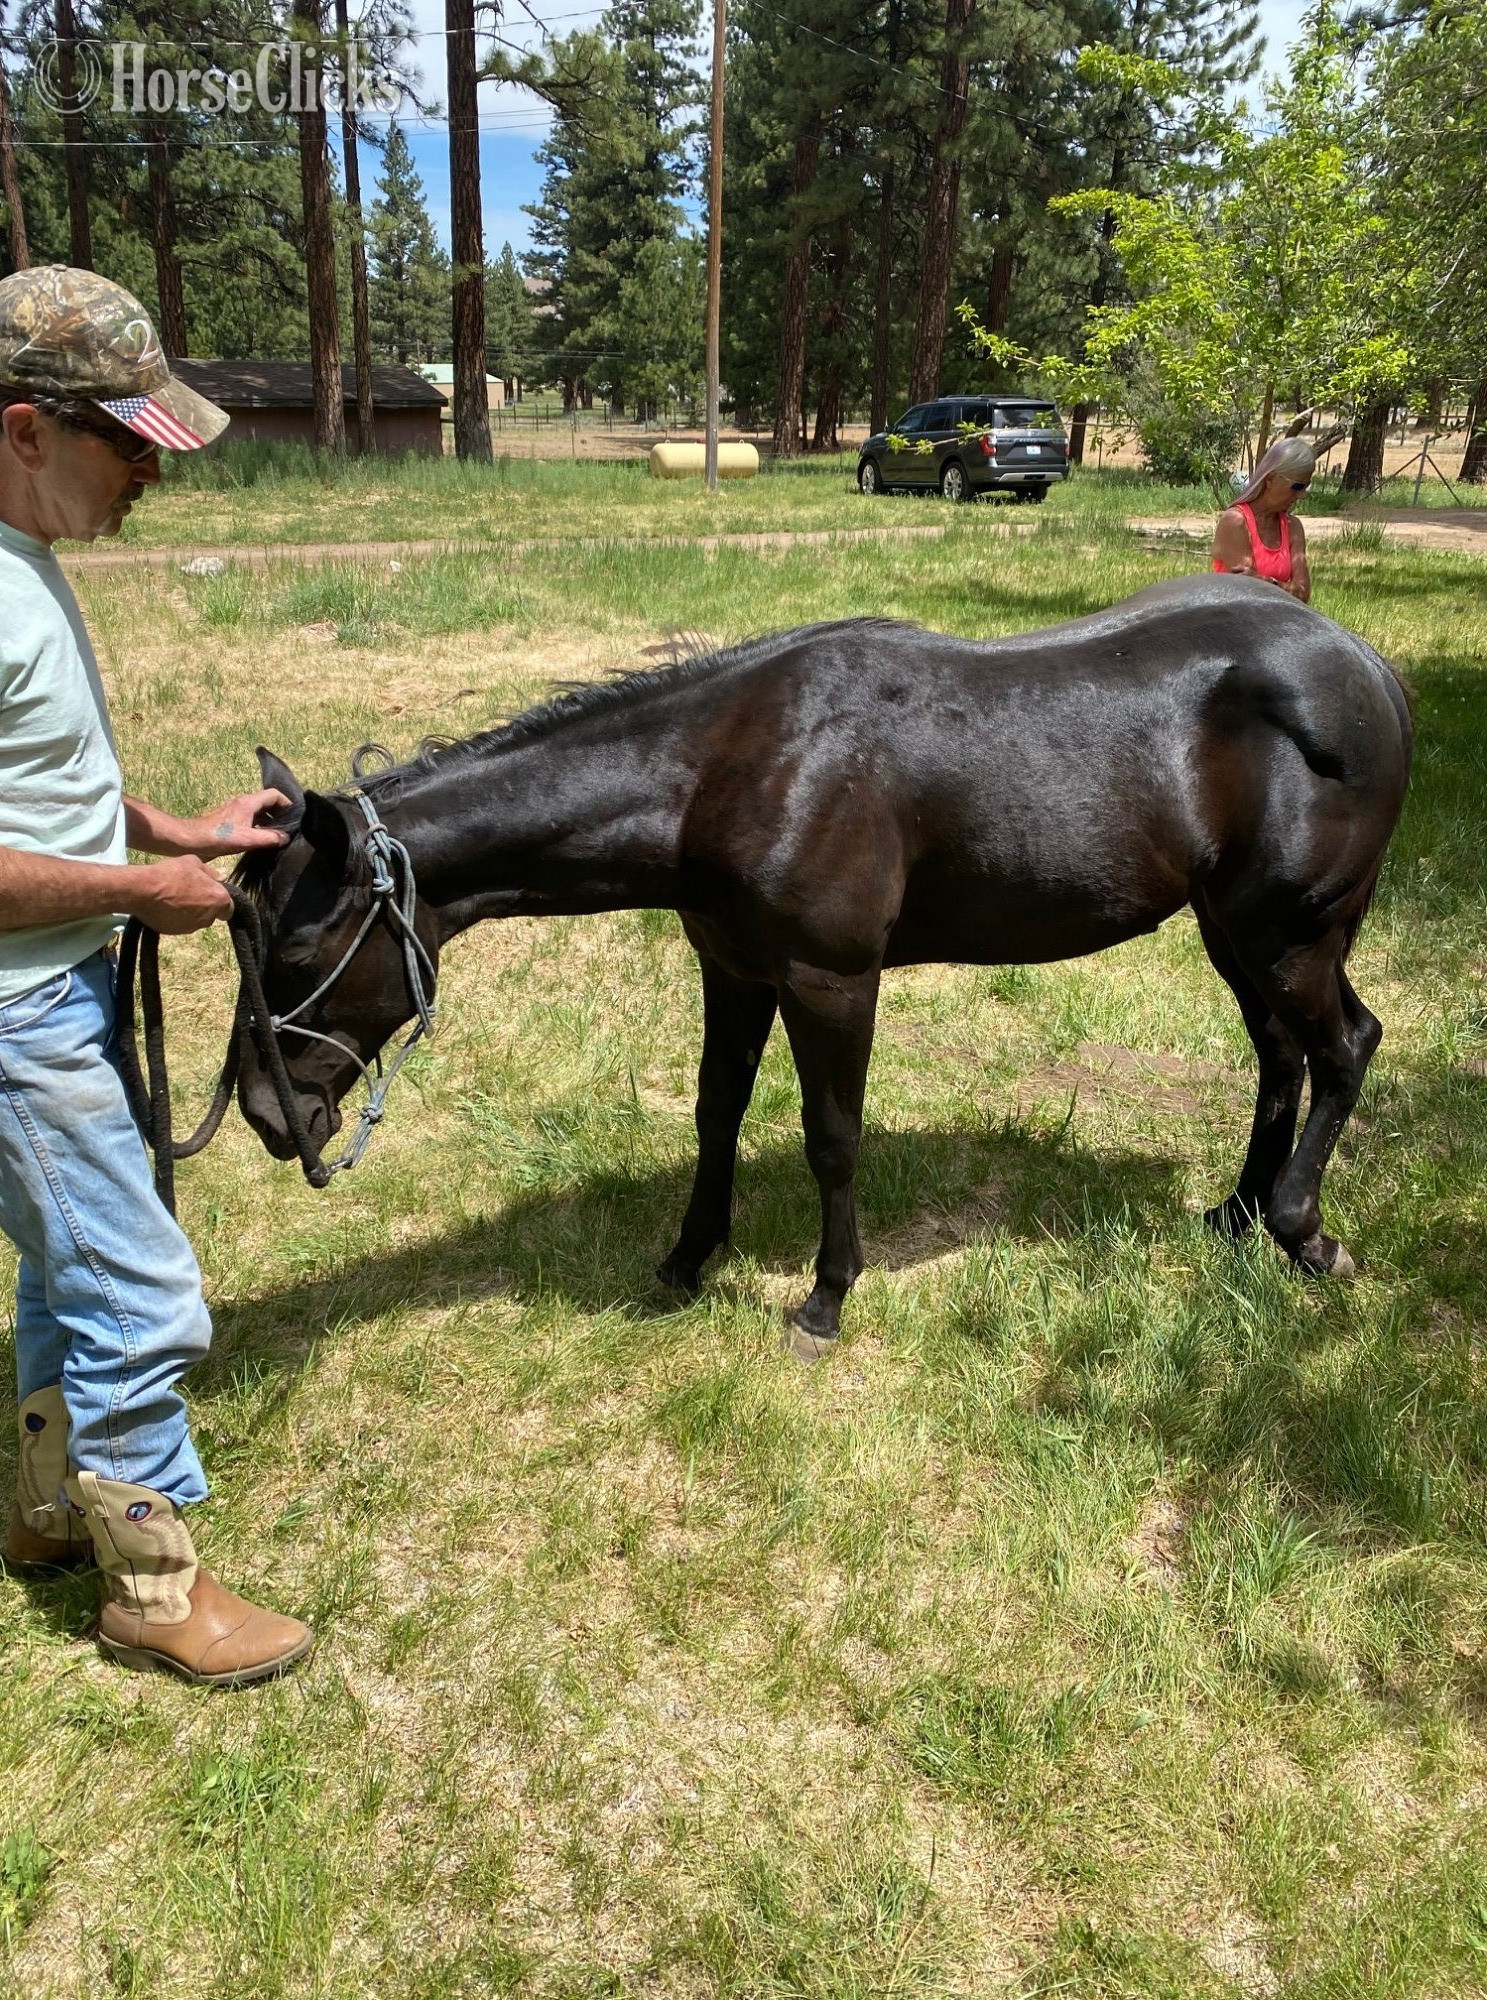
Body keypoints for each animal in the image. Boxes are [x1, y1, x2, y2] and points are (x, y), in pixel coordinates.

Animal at [232, 575, 1412, 1354]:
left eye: (296, 947)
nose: (265, 1112)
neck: (730, 770)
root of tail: (1365, 665)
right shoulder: (733, 970)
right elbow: (714, 1111)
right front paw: (684, 1259)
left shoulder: (828, 981)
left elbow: (830, 1137)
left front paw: (823, 1299)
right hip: (1236, 934)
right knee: (1279, 1056)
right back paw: (1239, 1214)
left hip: (1291, 934)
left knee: (1343, 1046)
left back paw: (1303, 1233)